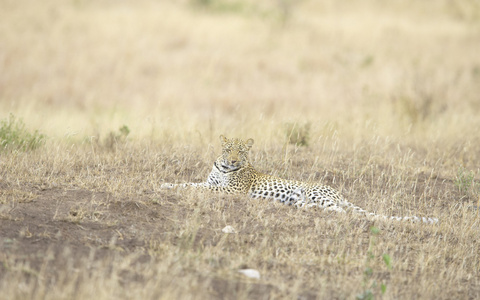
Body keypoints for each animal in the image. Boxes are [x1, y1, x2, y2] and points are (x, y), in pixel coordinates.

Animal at [160, 135, 438, 224]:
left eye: (242, 151)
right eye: (228, 149)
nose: (234, 160)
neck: (225, 169)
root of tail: (339, 192)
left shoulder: (232, 192)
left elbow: (203, 191)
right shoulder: (210, 182)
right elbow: (191, 184)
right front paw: (166, 184)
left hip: (316, 193)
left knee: (342, 212)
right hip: (305, 197)